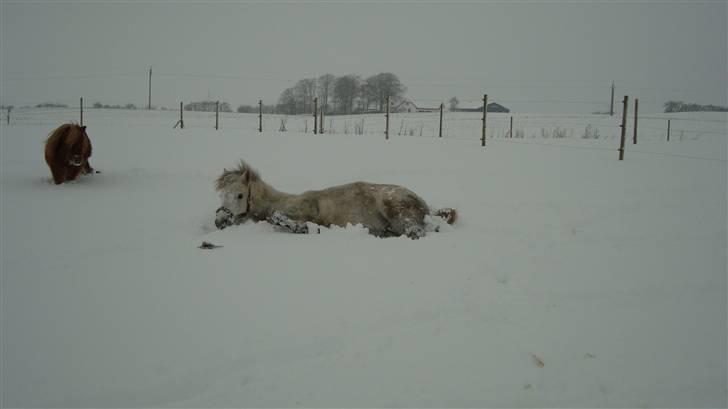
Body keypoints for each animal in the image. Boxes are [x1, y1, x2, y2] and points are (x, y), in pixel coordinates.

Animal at [213, 158, 458, 237]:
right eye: (221, 195)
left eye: (240, 195)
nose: (219, 221)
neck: (280, 200)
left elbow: (278, 217)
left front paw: (304, 228)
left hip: (399, 213)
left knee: (419, 232)